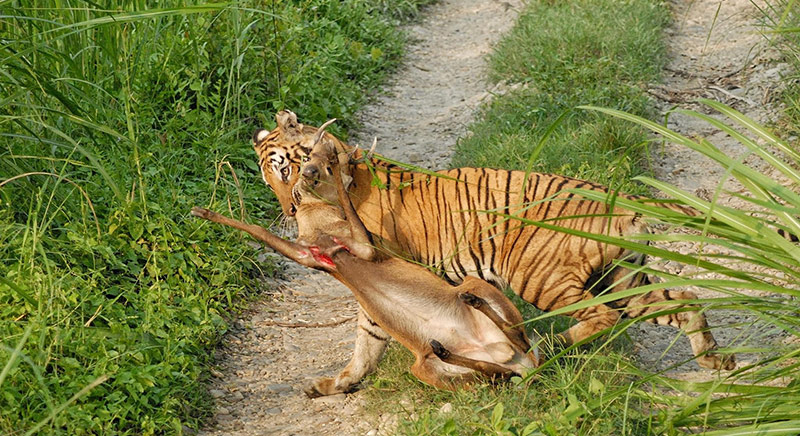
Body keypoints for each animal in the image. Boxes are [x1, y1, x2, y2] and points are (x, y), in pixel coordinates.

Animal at [253, 110, 736, 396]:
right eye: (269, 179)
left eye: (285, 169)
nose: (288, 207)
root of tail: (617, 197)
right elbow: (365, 342)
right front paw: (340, 382)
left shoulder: (374, 256)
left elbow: (369, 329)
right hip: (622, 279)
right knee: (683, 300)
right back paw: (717, 359)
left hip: (541, 277)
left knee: (597, 318)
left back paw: (553, 345)